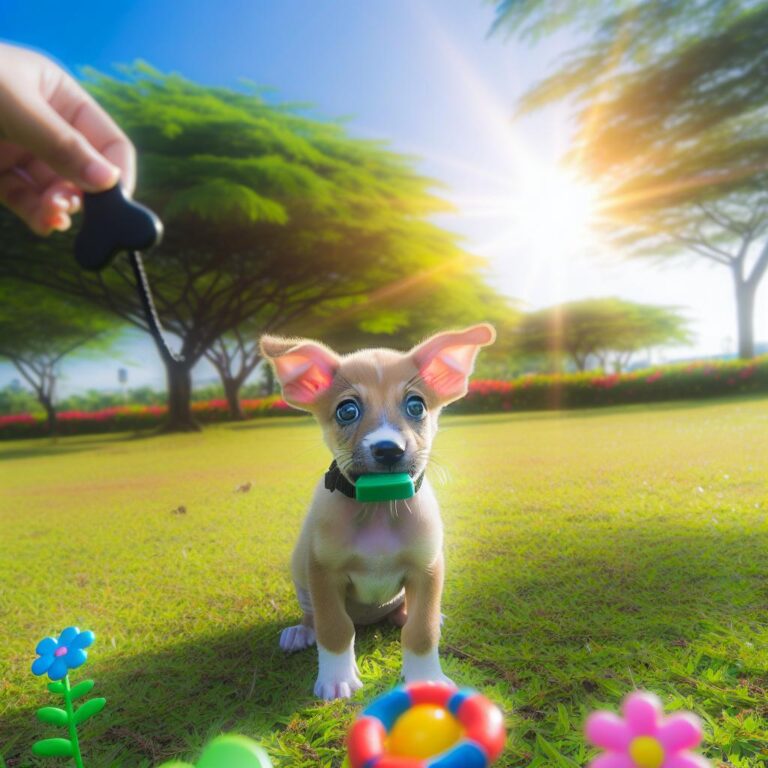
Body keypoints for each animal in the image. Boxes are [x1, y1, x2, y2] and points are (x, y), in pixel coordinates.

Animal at [260, 320, 496, 700]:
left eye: (416, 406)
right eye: (347, 411)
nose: (388, 449)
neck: (379, 509)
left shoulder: (427, 570)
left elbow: (421, 631)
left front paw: (426, 676)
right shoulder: (322, 572)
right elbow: (334, 628)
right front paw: (336, 678)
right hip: (300, 571)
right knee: (314, 619)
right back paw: (300, 632)